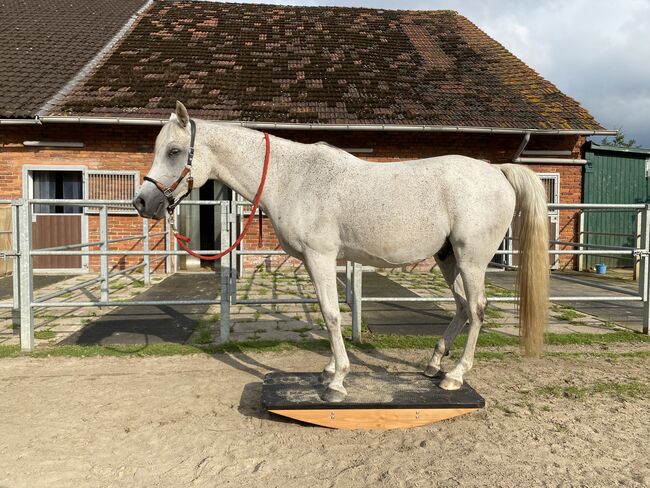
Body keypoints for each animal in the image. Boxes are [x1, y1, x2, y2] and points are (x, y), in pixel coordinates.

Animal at [132, 101, 548, 402]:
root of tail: (496, 171)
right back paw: (433, 365)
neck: (292, 177)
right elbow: (325, 312)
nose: (142, 201)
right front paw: (330, 371)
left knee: (476, 309)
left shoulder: (320, 257)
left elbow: (332, 316)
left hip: (471, 259)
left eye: (174, 151)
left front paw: (337, 382)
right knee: (462, 307)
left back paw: (455, 376)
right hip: (447, 258)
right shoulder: (315, 261)